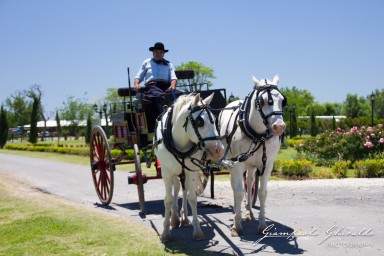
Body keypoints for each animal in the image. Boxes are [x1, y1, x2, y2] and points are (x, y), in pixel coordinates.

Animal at [154, 92, 225, 242]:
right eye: (200, 122)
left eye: (214, 120)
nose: (219, 150)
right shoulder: (166, 172)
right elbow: (168, 200)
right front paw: (165, 232)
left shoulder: (190, 171)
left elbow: (191, 198)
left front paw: (197, 230)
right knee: (176, 188)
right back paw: (174, 218)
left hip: (184, 172)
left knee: (183, 190)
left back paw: (184, 219)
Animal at [219, 74, 284, 236]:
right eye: (261, 101)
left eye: (282, 100)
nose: (279, 127)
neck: (257, 135)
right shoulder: (236, 164)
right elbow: (238, 192)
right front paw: (237, 225)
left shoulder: (267, 164)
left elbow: (262, 192)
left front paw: (262, 224)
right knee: (236, 186)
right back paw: (238, 212)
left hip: (251, 164)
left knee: (249, 182)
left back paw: (248, 210)